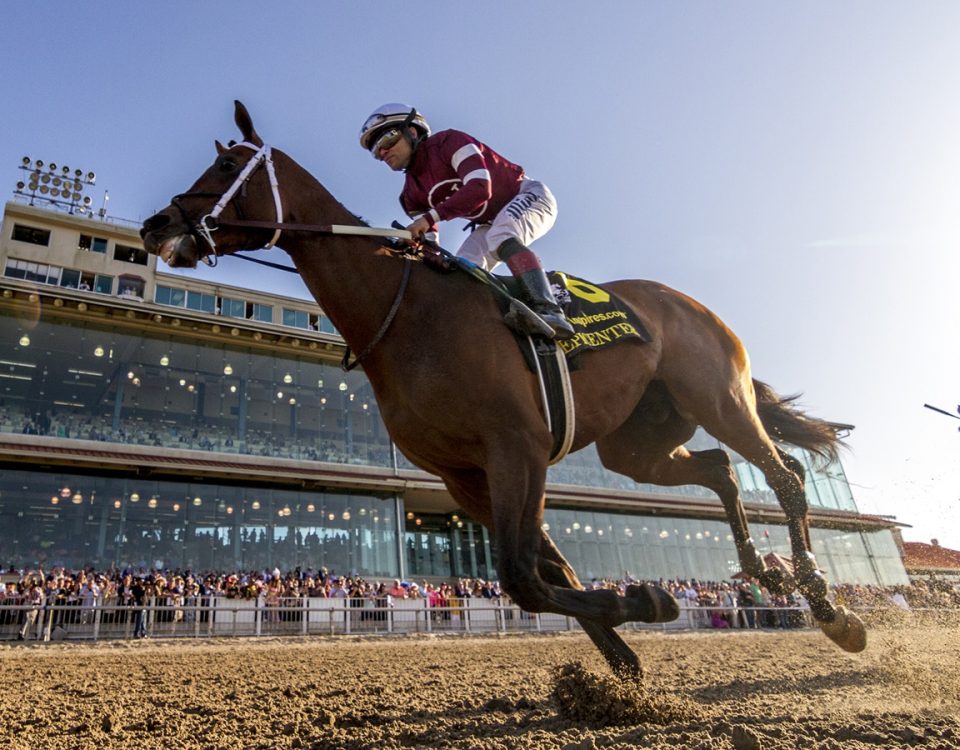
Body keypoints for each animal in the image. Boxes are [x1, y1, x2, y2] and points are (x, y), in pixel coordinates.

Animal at [142, 101, 872, 680]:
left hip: (716, 396)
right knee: (721, 470)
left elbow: (524, 575)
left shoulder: (517, 446)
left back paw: (828, 606)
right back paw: (766, 575)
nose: (156, 227)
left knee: (784, 476)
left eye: (223, 168)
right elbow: (549, 572)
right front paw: (625, 655)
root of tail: (687, 302)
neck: (407, 313)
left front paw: (643, 603)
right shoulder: (464, 474)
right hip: (636, 445)